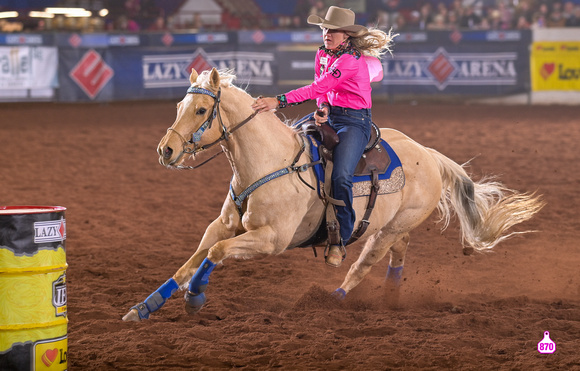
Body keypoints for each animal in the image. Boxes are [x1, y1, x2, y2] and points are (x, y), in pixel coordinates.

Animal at [122, 69, 544, 322]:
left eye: (201, 109)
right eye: (180, 105)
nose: (166, 151)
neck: (267, 163)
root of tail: (428, 154)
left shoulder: (271, 240)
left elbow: (215, 254)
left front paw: (195, 297)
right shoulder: (224, 225)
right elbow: (192, 259)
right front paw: (144, 307)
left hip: (385, 230)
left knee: (365, 264)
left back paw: (334, 297)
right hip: (397, 225)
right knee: (400, 252)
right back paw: (391, 296)